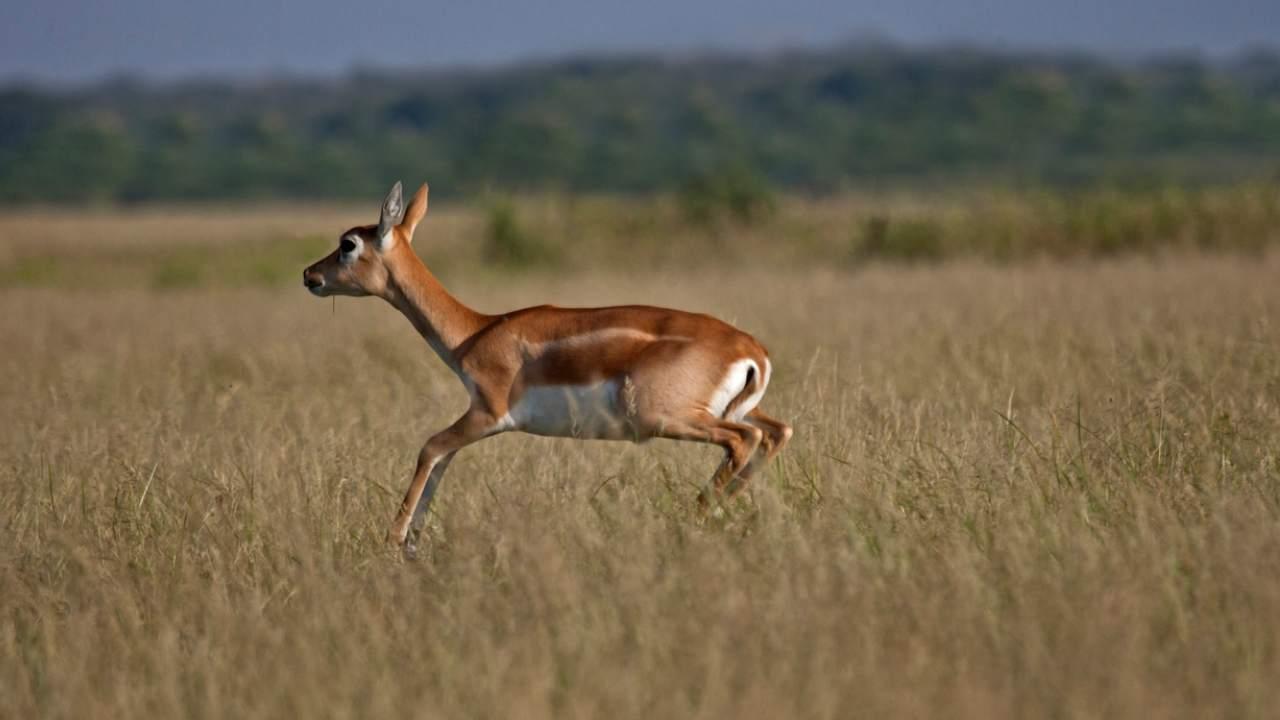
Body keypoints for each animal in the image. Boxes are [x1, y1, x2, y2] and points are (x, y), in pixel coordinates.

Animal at [307, 181, 788, 545]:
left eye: (348, 244)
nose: (310, 275)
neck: (476, 332)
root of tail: (751, 351)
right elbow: (442, 459)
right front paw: (413, 542)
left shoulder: (487, 414)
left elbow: (430, 448)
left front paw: (394, 540)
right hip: (730, 411)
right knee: (774, 433)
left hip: (667, 418)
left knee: (743, 440)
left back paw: (696, 516)